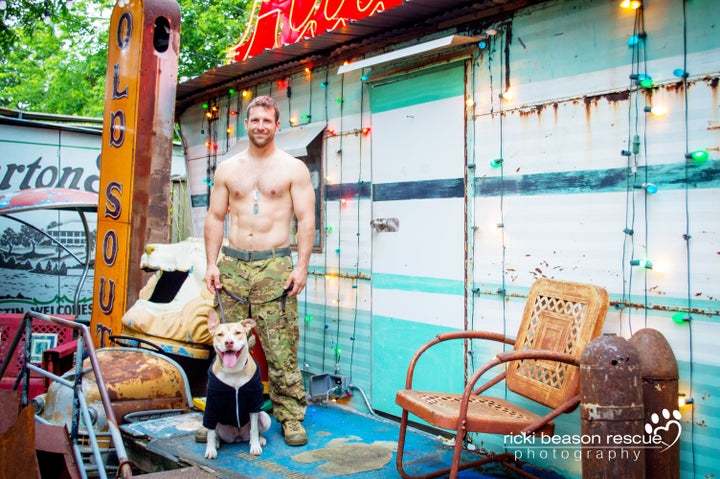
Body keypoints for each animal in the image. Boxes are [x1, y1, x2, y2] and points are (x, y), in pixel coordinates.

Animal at [202, 310, 270, 460]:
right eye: (219, 334)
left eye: (238, 332)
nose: (228, 342)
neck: (233, 371)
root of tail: (237, 437)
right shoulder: (211, 406)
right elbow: (210, 433)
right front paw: (210, 449)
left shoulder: (254, 404)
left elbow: (254, 429)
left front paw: (255, 446)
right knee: (214, 432)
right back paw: (216, 442)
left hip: (265, 417)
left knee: (258, 430)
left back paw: (260, 439)